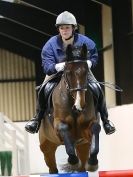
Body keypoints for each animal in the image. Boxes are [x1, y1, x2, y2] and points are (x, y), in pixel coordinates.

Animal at [38, 43, 101, 174]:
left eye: (86, 71)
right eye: (68, 72)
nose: (80, 104)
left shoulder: (87, 127)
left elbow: (95, 128)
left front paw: (93, 163)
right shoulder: (58, 125)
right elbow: (64, 129)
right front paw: (73, 161)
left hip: (82, 146)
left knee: (82, 164)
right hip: (46, 146)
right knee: (52, 166)